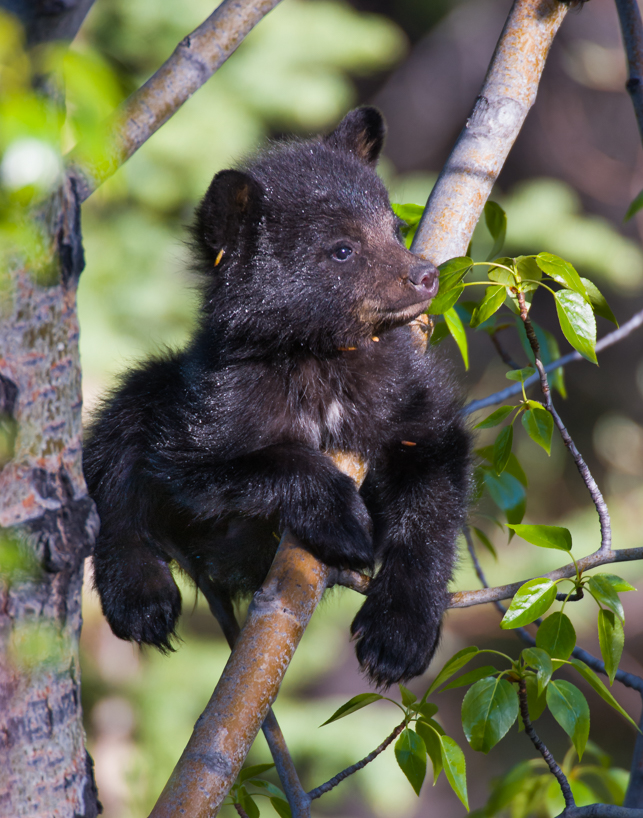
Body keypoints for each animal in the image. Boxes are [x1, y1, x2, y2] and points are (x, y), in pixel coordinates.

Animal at [83, 107, 471, 688]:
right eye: (342, 249)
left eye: (395, 229)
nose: (424, 274)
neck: (315, 355)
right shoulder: (219, 398)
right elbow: (204, 463)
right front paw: (343, 519)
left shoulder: (400, 390)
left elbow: (434, 471)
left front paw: (398, 635)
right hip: (161, 386)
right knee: (115, 447)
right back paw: (141, 596)